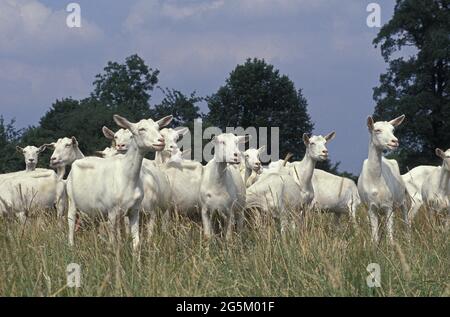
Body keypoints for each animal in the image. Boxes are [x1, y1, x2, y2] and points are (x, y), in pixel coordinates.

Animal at [67, 113, 172, 249]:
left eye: (158, 128)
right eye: (141, 129)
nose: (161, 141)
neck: (126, 177)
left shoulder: (134, 210)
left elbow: (136, 242)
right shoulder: (112, 211)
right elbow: (113, 241)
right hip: (71, 199)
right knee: (71, 222)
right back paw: (71, 245)